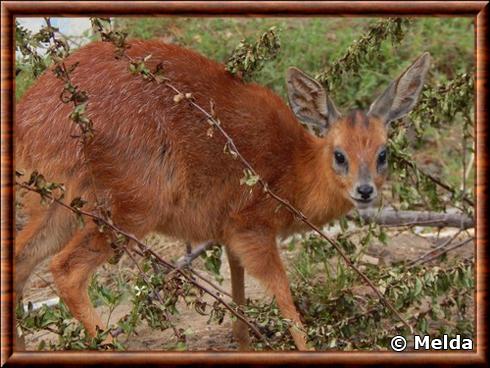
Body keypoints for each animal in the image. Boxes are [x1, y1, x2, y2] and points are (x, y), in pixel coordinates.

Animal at [14, 39, 428, 350]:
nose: (365, 190)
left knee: (20, 258)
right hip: (128, 210)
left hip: (57, 205)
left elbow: (240, 306)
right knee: (66, 271)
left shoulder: (229, 236)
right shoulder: (253, 230)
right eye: (339, 154)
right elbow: (284, 297)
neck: (295, 165)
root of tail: (31, 118)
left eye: (383, 153)